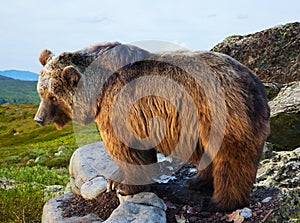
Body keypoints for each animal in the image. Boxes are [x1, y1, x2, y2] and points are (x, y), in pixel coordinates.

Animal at [34, 41, 270, 211]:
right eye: (41, 92)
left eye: (53, 97)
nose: (39, 119)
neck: (97, 90)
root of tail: (255, 82)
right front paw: (114, 181)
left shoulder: (120, 106)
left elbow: (126, 149)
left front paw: (125, 186)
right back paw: (196, 181)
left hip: (221, 113)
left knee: (231, 158)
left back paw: (218, 202)